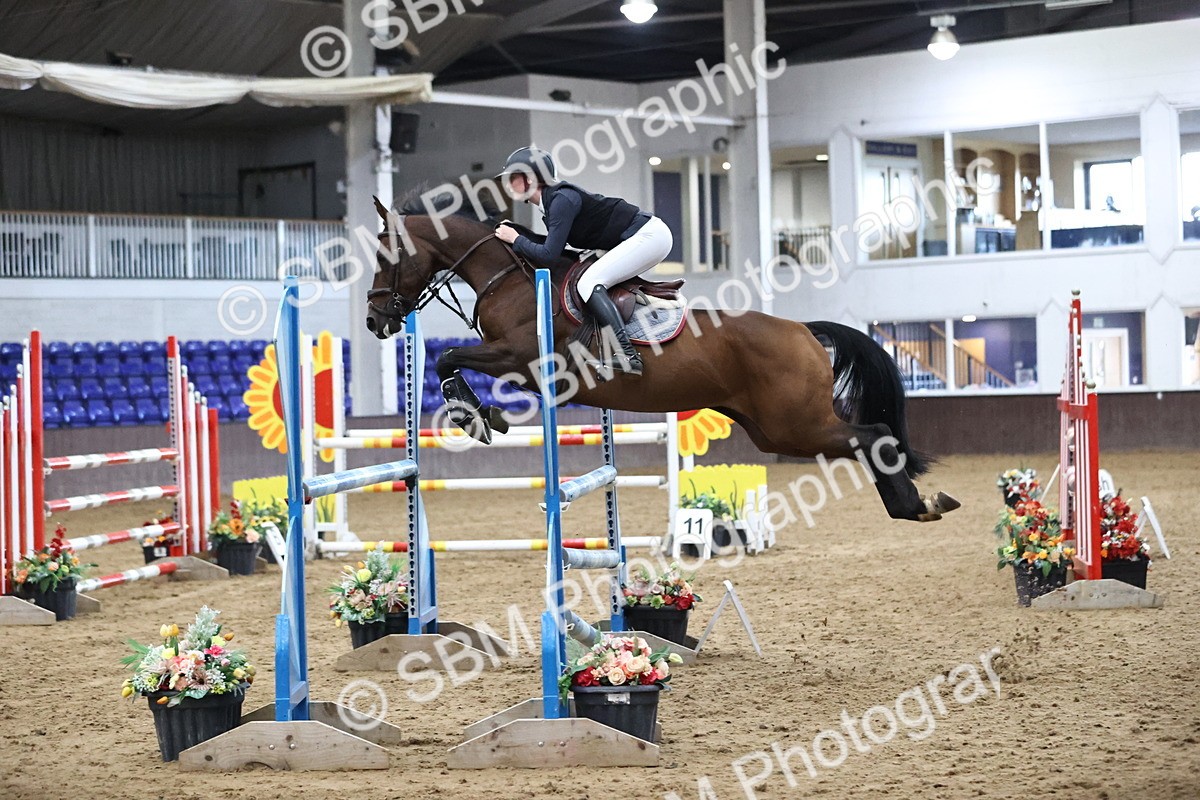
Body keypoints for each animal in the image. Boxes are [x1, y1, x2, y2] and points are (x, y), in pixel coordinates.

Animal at [365, 194, 959, 523]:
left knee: (874, 434)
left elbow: (449, 361)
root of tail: (801, 330)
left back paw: (917, 506)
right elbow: (454, 363)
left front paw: (472, 415)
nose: (374, 320)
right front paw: (483, 415)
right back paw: (916, 505)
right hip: (774, 429)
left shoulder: (519, 357)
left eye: (385, 255)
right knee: (869, 436)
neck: (507, 278)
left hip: (797, 425)